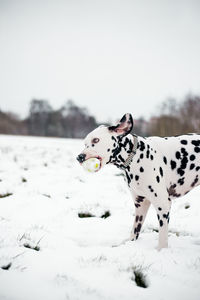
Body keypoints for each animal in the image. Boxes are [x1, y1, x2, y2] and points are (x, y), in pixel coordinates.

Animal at [76, 113, 200, 250]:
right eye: (85, 144)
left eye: (96, 140)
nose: (79, 157)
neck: (135, 156)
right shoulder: (140, 204)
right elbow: (135, 230)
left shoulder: (163, 204)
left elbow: (162, 236)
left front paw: (161, 251)